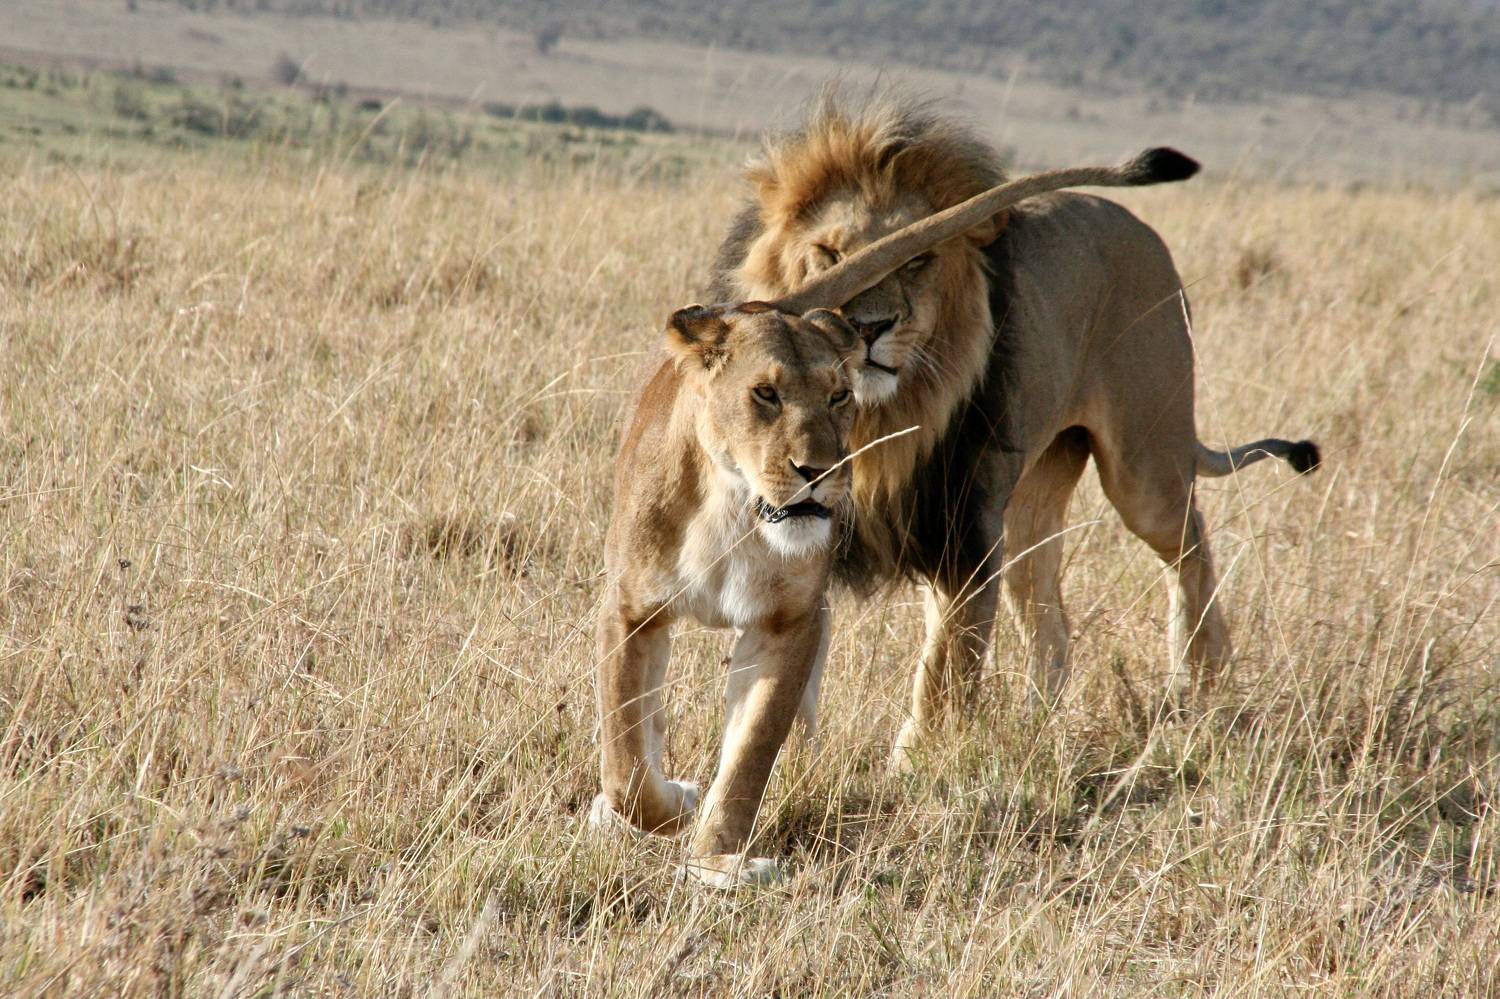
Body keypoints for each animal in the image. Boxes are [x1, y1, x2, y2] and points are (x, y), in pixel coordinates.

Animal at [709, 93, 1320, 766]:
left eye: (917, 259)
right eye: (831, 253)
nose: (867, 328)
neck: (874, 419)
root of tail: (1138, 227)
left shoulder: (964, 534)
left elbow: (944, 670)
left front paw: (912, 766)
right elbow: (787, 678)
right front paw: (784, 762)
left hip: (1144, 469)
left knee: (1190, 546)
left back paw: (1200, 684)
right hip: (1035, 498)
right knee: (1049, 611)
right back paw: (1038, 722)